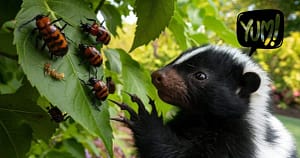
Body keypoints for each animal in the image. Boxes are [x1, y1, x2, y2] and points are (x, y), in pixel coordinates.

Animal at [110, 44, 298, 158]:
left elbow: (182, 154)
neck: (200, 120)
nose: (157, 75)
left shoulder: (233, 146)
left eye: (200, 75)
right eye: (178, 57)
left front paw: (143, 118)